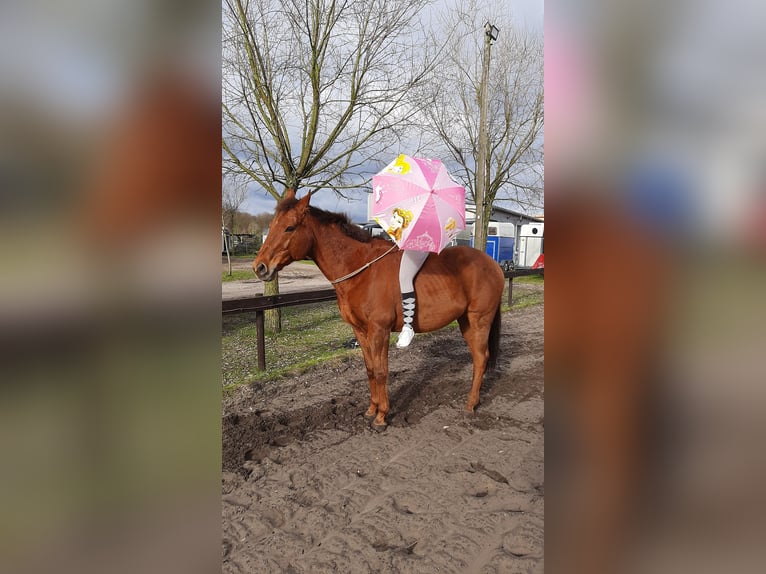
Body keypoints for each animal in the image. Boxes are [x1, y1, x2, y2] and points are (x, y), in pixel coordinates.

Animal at [254, 191, 510, 430]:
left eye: (289, 227)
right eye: (272, 225)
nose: (260, 267)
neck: (361, 270)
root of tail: (493, 264)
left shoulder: (380, 330)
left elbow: (381, 371)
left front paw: (381, 416)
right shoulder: (360, 331)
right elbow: (369, 370)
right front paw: (371, 409)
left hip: (479, 320)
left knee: (481, 358)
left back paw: (470, 404)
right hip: (465, 321)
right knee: (478, 357)